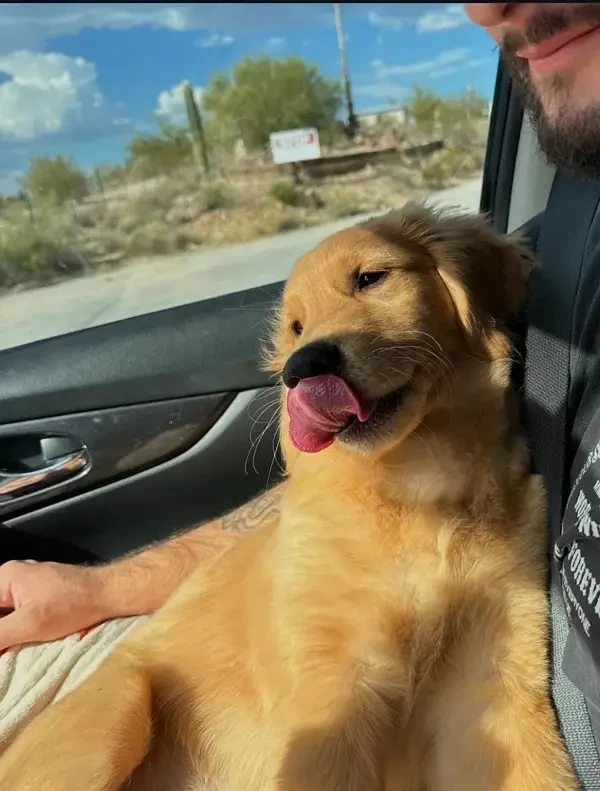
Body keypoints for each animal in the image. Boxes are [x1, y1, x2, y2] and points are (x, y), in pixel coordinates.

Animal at [0, 206, 576, 791]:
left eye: (371, 278)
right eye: (297, 326)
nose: (301, 368)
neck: (419, 485)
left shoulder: (493, 679)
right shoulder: (333, 687)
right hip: (113, 714)